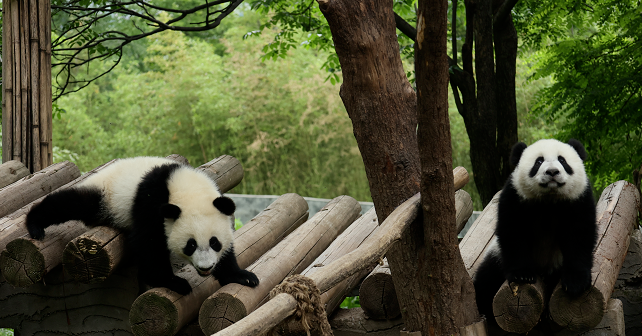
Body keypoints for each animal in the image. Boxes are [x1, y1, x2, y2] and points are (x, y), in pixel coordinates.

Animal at [26, 156, 258, 296]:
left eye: (214, 242)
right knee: (68, 203)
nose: (206, 267)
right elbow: (149, 241)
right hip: (104, 195)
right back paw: (35, 224)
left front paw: (241, 276)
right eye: (190, 245)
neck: (187, 188)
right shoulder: (151, 199)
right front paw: (172, 282)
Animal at [470, 138, 596, 322]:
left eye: (562, 160)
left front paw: (575, 282)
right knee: (486, 280)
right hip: (496, 257)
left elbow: (579, 235)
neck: (549, 199)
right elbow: (513, 232)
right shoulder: (515, 196)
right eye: (539, 161)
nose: (552, 172)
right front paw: (522, 274)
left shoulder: (578, 198)